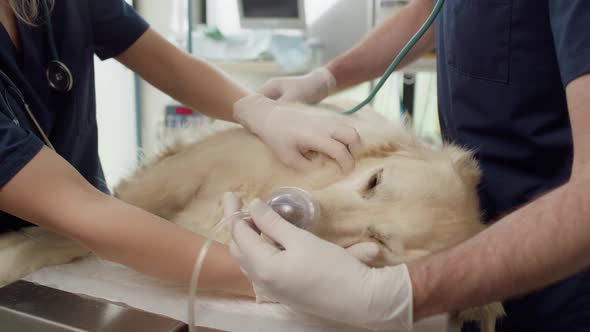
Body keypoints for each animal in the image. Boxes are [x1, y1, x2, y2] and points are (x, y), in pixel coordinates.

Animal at [0, 101, 506, 332]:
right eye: (375, 181)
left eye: (377, 247)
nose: (291, 205)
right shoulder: (181, 172)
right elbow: (86, 216)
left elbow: (84, 230)